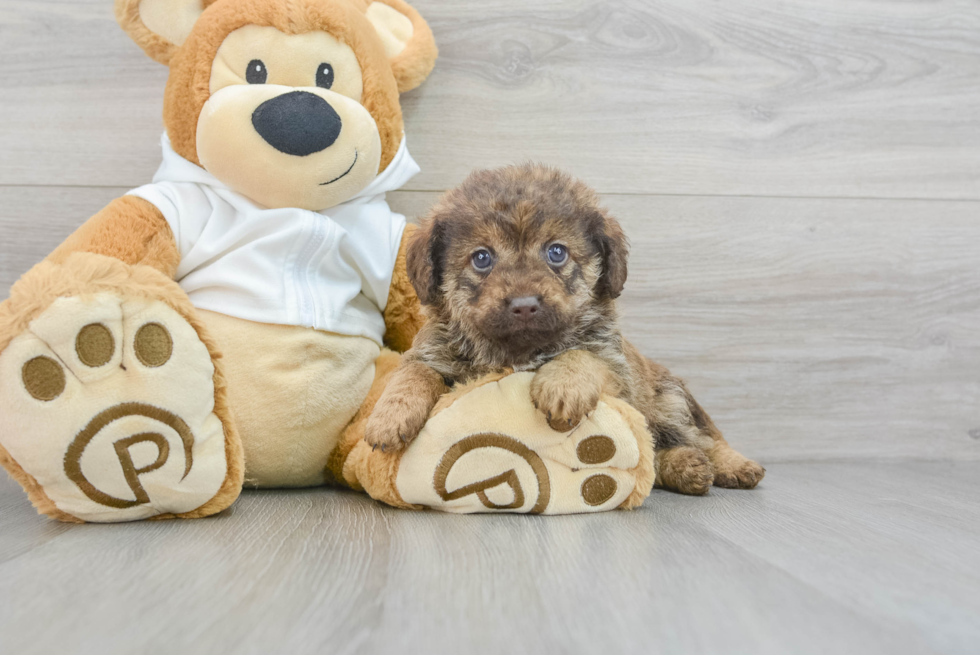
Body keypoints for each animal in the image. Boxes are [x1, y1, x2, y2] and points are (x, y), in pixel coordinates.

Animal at [364, 165, 760, 498]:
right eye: (482, 258)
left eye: (556, 253)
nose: (524, 305)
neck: (518, 351)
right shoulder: (432, 354)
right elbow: (413, 374)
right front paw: (389, 417)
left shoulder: (615, 369)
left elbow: (581, 355)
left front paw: (563, 385)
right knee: (657, 455)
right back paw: (686, 468)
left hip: (670, 406)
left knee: (703, 438)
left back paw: (733, 465)